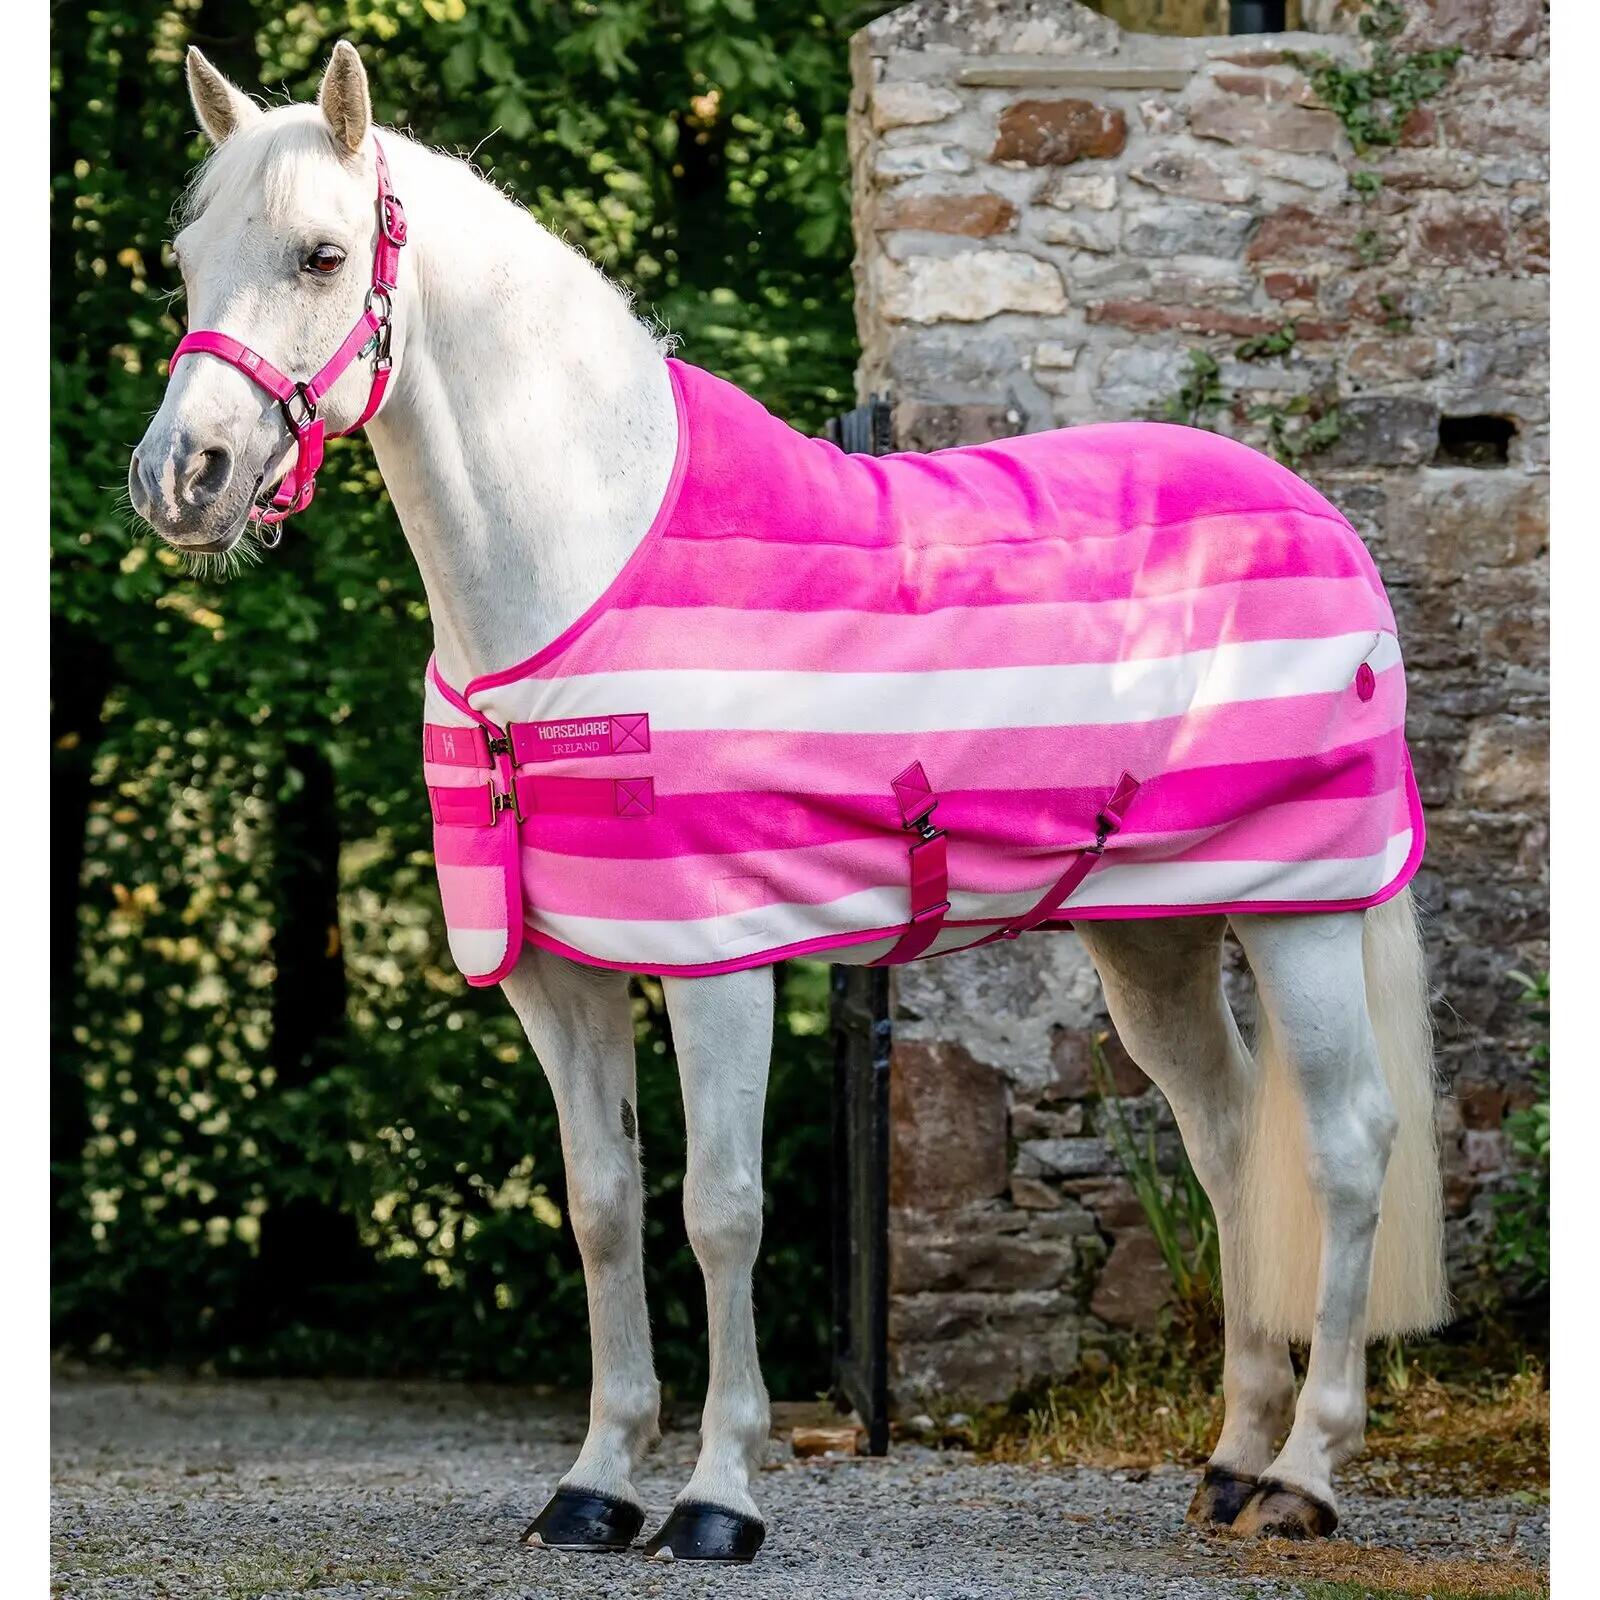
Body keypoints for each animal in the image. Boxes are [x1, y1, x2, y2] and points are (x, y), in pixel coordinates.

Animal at [126, 41, 1447, 1564]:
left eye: (322, 254)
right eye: (185, 260)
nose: (179, 479)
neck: (580, 565)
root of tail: (1319, 514)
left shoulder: (720, 962)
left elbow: (722, 1212)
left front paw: (717, 1496)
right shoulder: (560, 975)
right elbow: (600, 1207)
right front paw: (593, 1485)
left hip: (1301, 910)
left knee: (1343, 1146)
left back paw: (1304, 1475)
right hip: (1154, 931)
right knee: (1227, 1137)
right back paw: (1230, 1458)